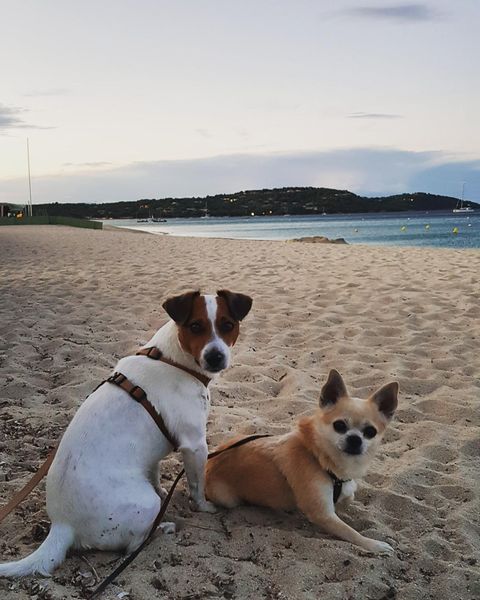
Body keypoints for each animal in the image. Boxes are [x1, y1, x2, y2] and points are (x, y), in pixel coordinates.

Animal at [0, 290, 251, 576]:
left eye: (227, 325)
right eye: (196, 326)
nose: (215, 357)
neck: (175, 360)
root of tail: (62, 525)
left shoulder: (154, 456)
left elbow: (154, 475)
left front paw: (164, 491)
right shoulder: (195, 446)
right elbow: (197, 486)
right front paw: (205, 507)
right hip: (144, 505)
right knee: (132, 546)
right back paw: (161, 528)